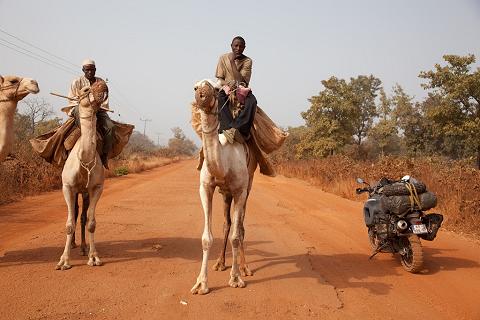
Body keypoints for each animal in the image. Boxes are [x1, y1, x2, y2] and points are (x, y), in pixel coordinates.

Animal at [55, 80, 108, 270]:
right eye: (85, 89)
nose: (102, 84)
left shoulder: (97, 187)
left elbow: (91, 222)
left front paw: (94, 257)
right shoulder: (67, 187)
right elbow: (69, 224)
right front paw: (64, 261)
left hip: (84, 191)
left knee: (83, 216)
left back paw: (84, 247)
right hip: (75, 190)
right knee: (76, 213)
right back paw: (73, 245)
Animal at [191, 80, 258, 296]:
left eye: (214, 88)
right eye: (195, 87)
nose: (201, 95)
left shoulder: (239, 190)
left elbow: (237, 236)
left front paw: (235, 278)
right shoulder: (205, 188)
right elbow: (206, 238)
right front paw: (201, 284)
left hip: (247, 186)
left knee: (240, 226)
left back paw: (245, 268)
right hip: (225, 194)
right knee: (227, 224)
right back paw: (220, 263)